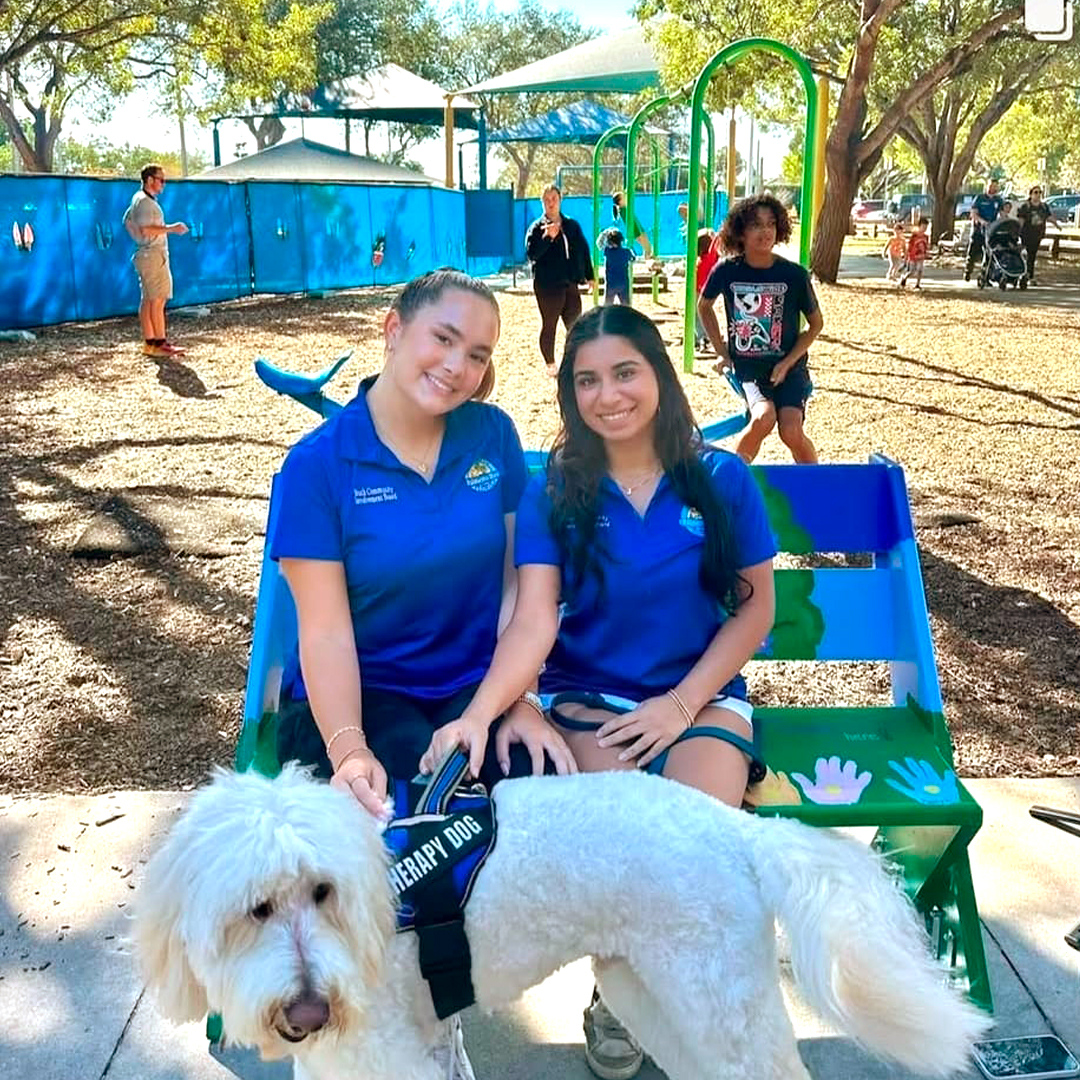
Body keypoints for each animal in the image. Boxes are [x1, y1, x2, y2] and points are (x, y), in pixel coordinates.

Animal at [135, 764, 989, 1075]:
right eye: (256, 909)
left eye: (323, 892)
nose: (310, 1009)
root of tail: (740, 828)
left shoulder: (385, 1056)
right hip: (654, 991)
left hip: (720, 1002)